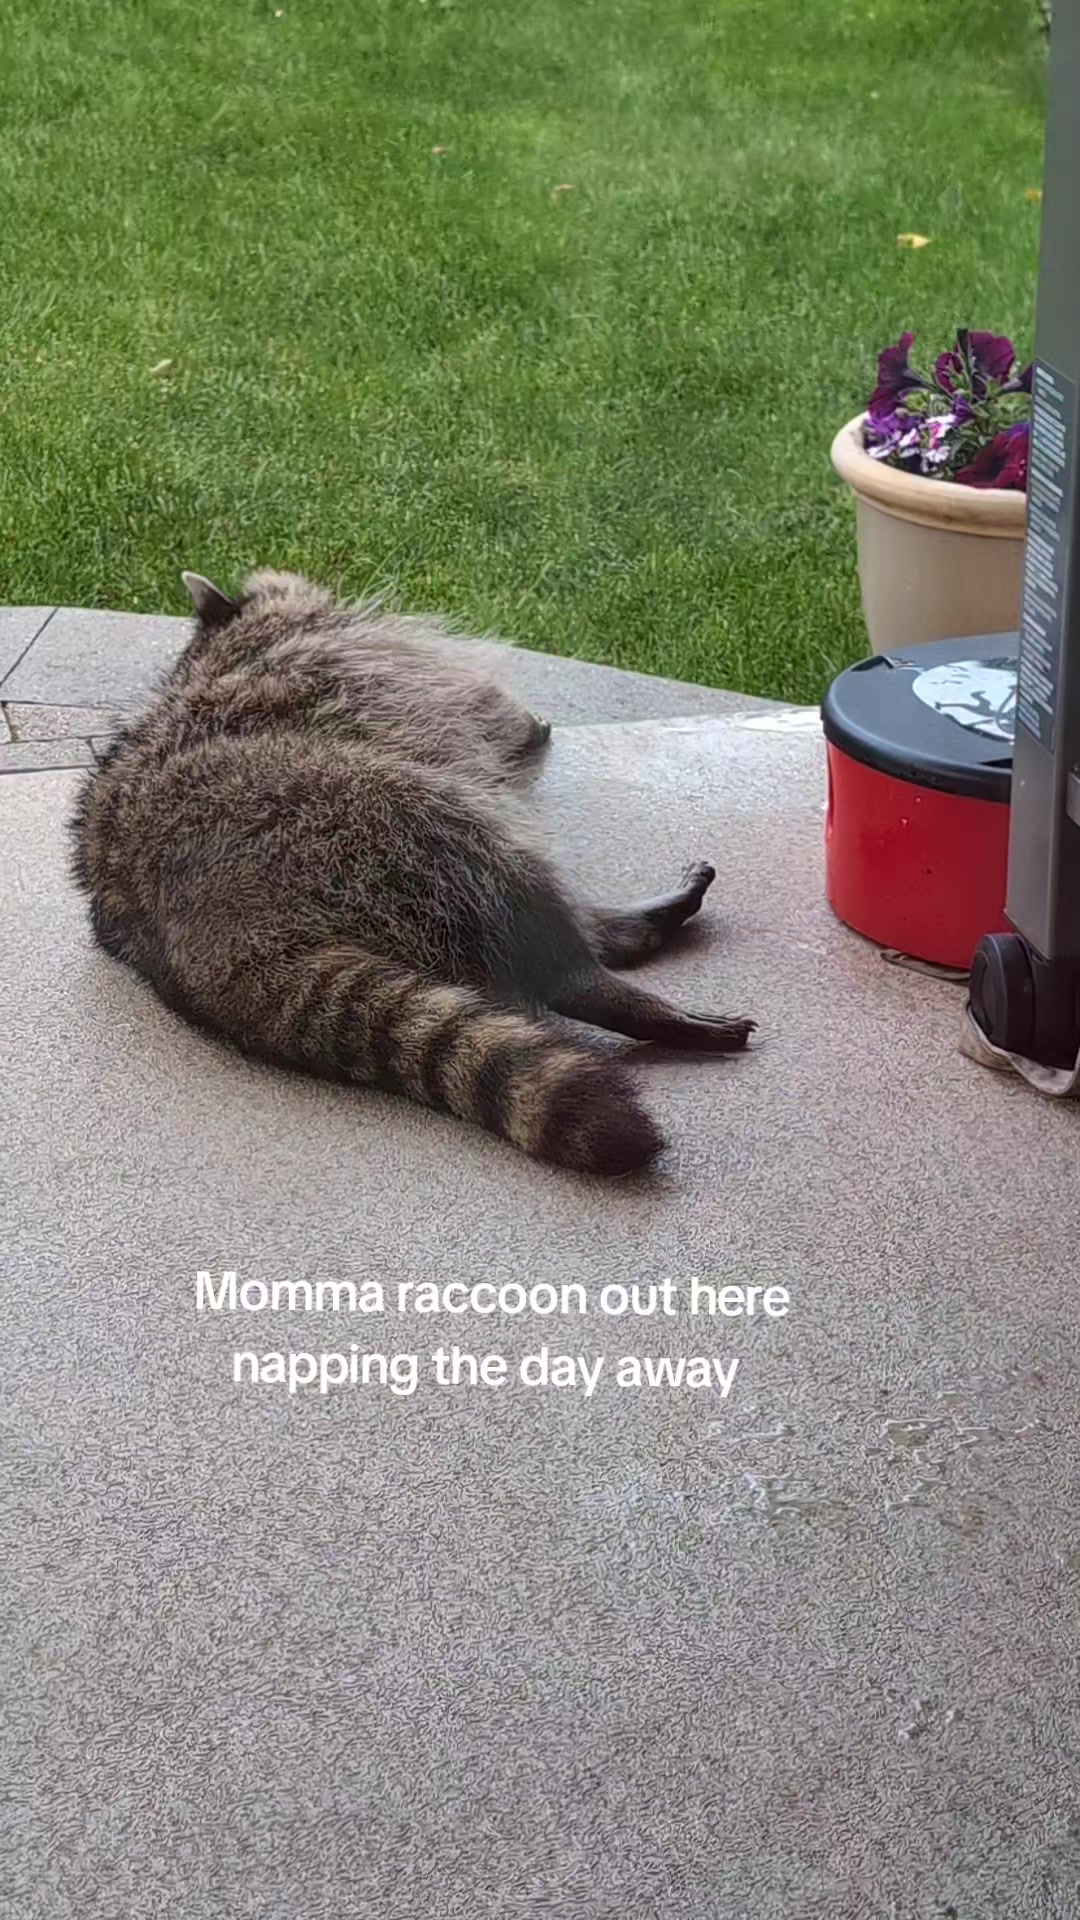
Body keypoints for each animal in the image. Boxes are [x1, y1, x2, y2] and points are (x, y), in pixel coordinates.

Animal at [70, 570, 754, 1176]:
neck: (232, 644)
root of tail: (190, 945)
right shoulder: (392, 664)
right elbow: (490, 713)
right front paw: (527, 727)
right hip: (347, 805)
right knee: (489, 861)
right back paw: (592, 974)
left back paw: (611, 931)